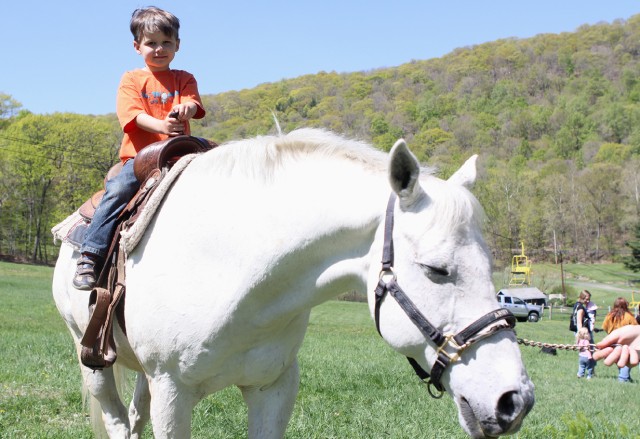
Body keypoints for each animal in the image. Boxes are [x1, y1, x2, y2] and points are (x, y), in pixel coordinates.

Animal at [53, 128, 536, 439]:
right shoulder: (173, 392)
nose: (514, 401)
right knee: (118, 420)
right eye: (437, 269)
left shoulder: (273, 389)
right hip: (90, 356)